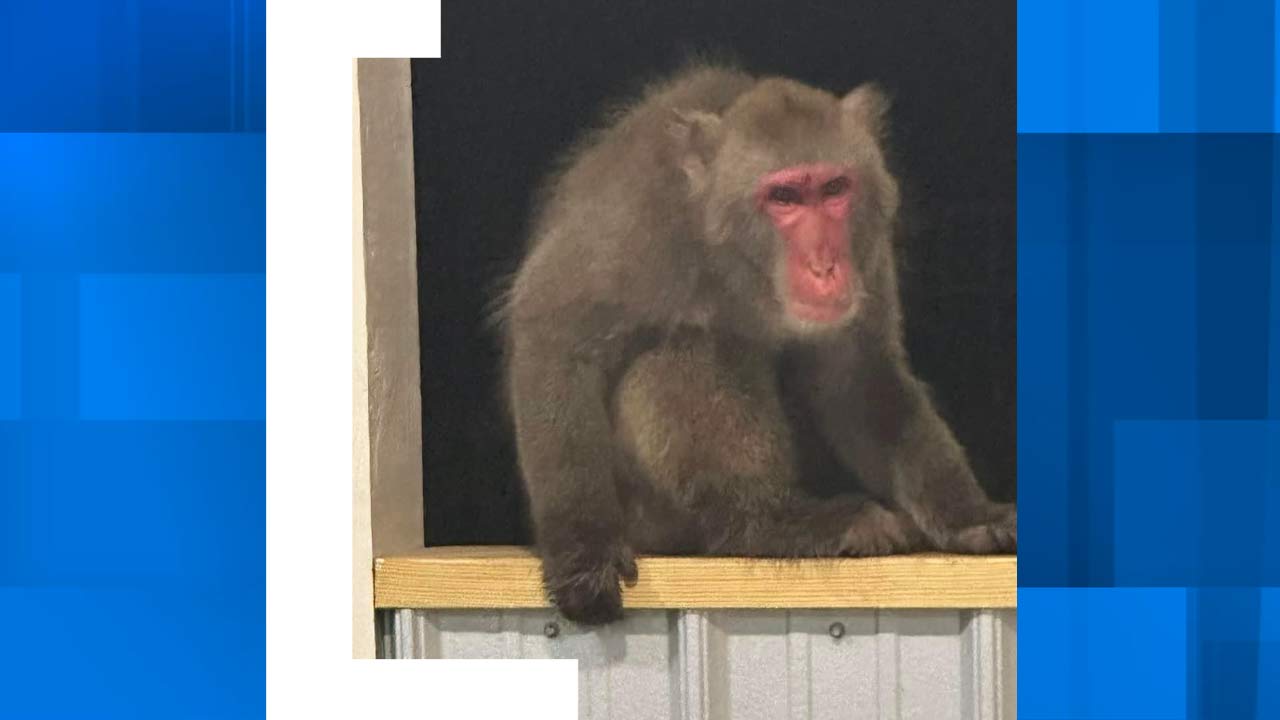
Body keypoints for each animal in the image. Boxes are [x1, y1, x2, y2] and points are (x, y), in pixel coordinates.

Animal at [498, 63, 1016, 626]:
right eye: (784, 197)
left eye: (835, 188)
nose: (825, 266)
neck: (742, 268)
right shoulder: (634, 220)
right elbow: (554, 334)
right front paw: (582, 550)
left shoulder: (868, 247)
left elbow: (860, 376)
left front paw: (967, 514)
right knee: (689, 349)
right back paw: (771, 522)